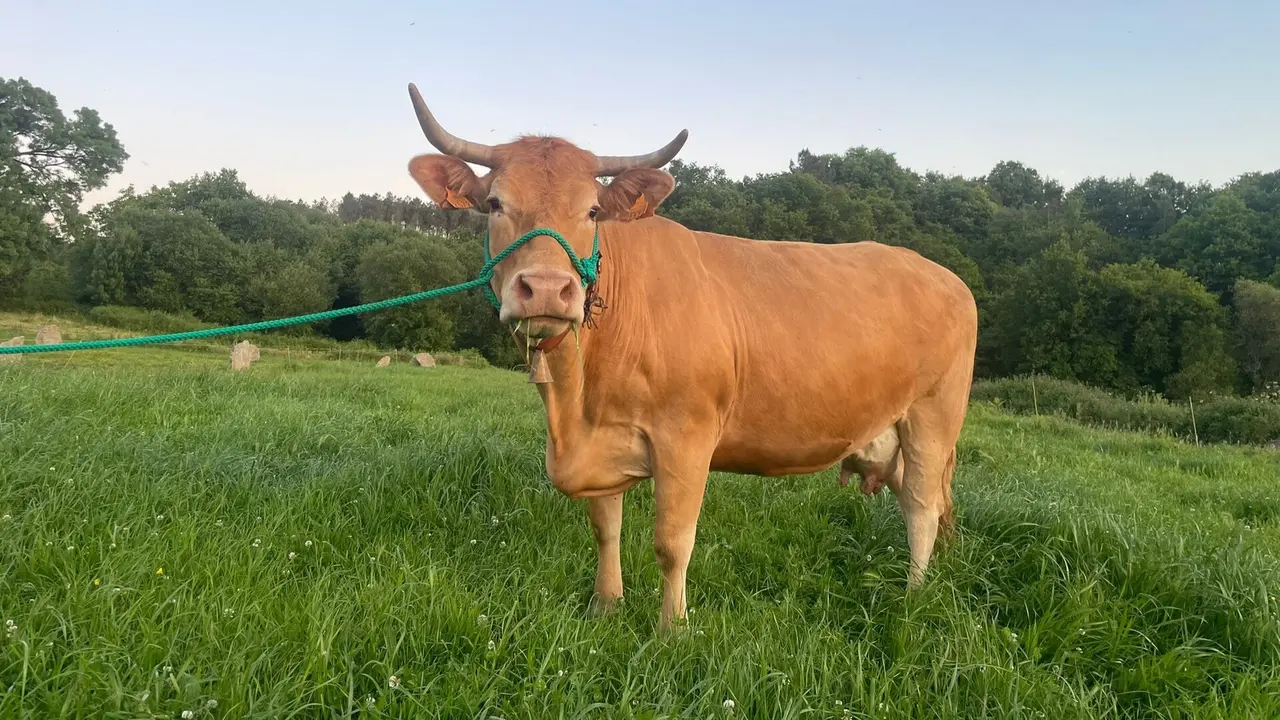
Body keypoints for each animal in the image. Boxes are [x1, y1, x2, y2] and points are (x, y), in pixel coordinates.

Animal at [402, 83, 978, 630]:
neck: (574, 401)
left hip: (933, 416)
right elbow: (605, 527)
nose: (546, 288)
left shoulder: (686, 437)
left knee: (923, 508)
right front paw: (605, 606)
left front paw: (672, 630)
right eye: (495, 204)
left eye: (592, 210)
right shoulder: (601, 438)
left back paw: (913, 597)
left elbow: (672, 542)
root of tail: (942, 274)